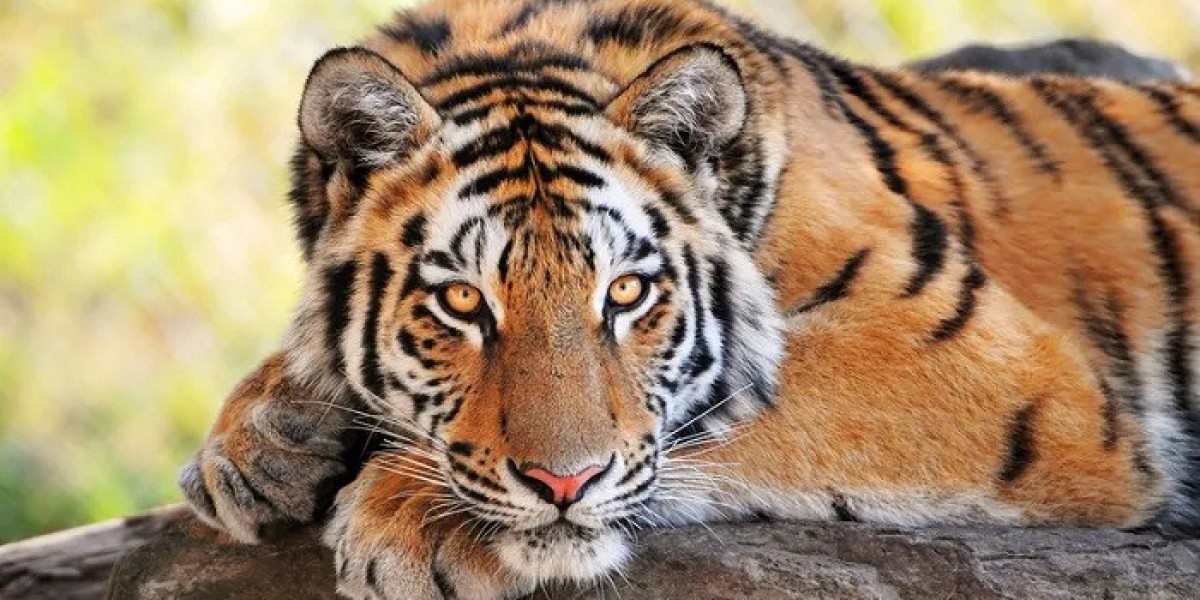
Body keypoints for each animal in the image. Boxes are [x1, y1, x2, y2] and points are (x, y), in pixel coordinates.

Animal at [177, 0, 1200, 598]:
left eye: (626, 292)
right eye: (463, 304)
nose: (562, 487)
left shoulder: (988, 363)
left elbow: (725, 410)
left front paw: (412, 517)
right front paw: (259, 440)